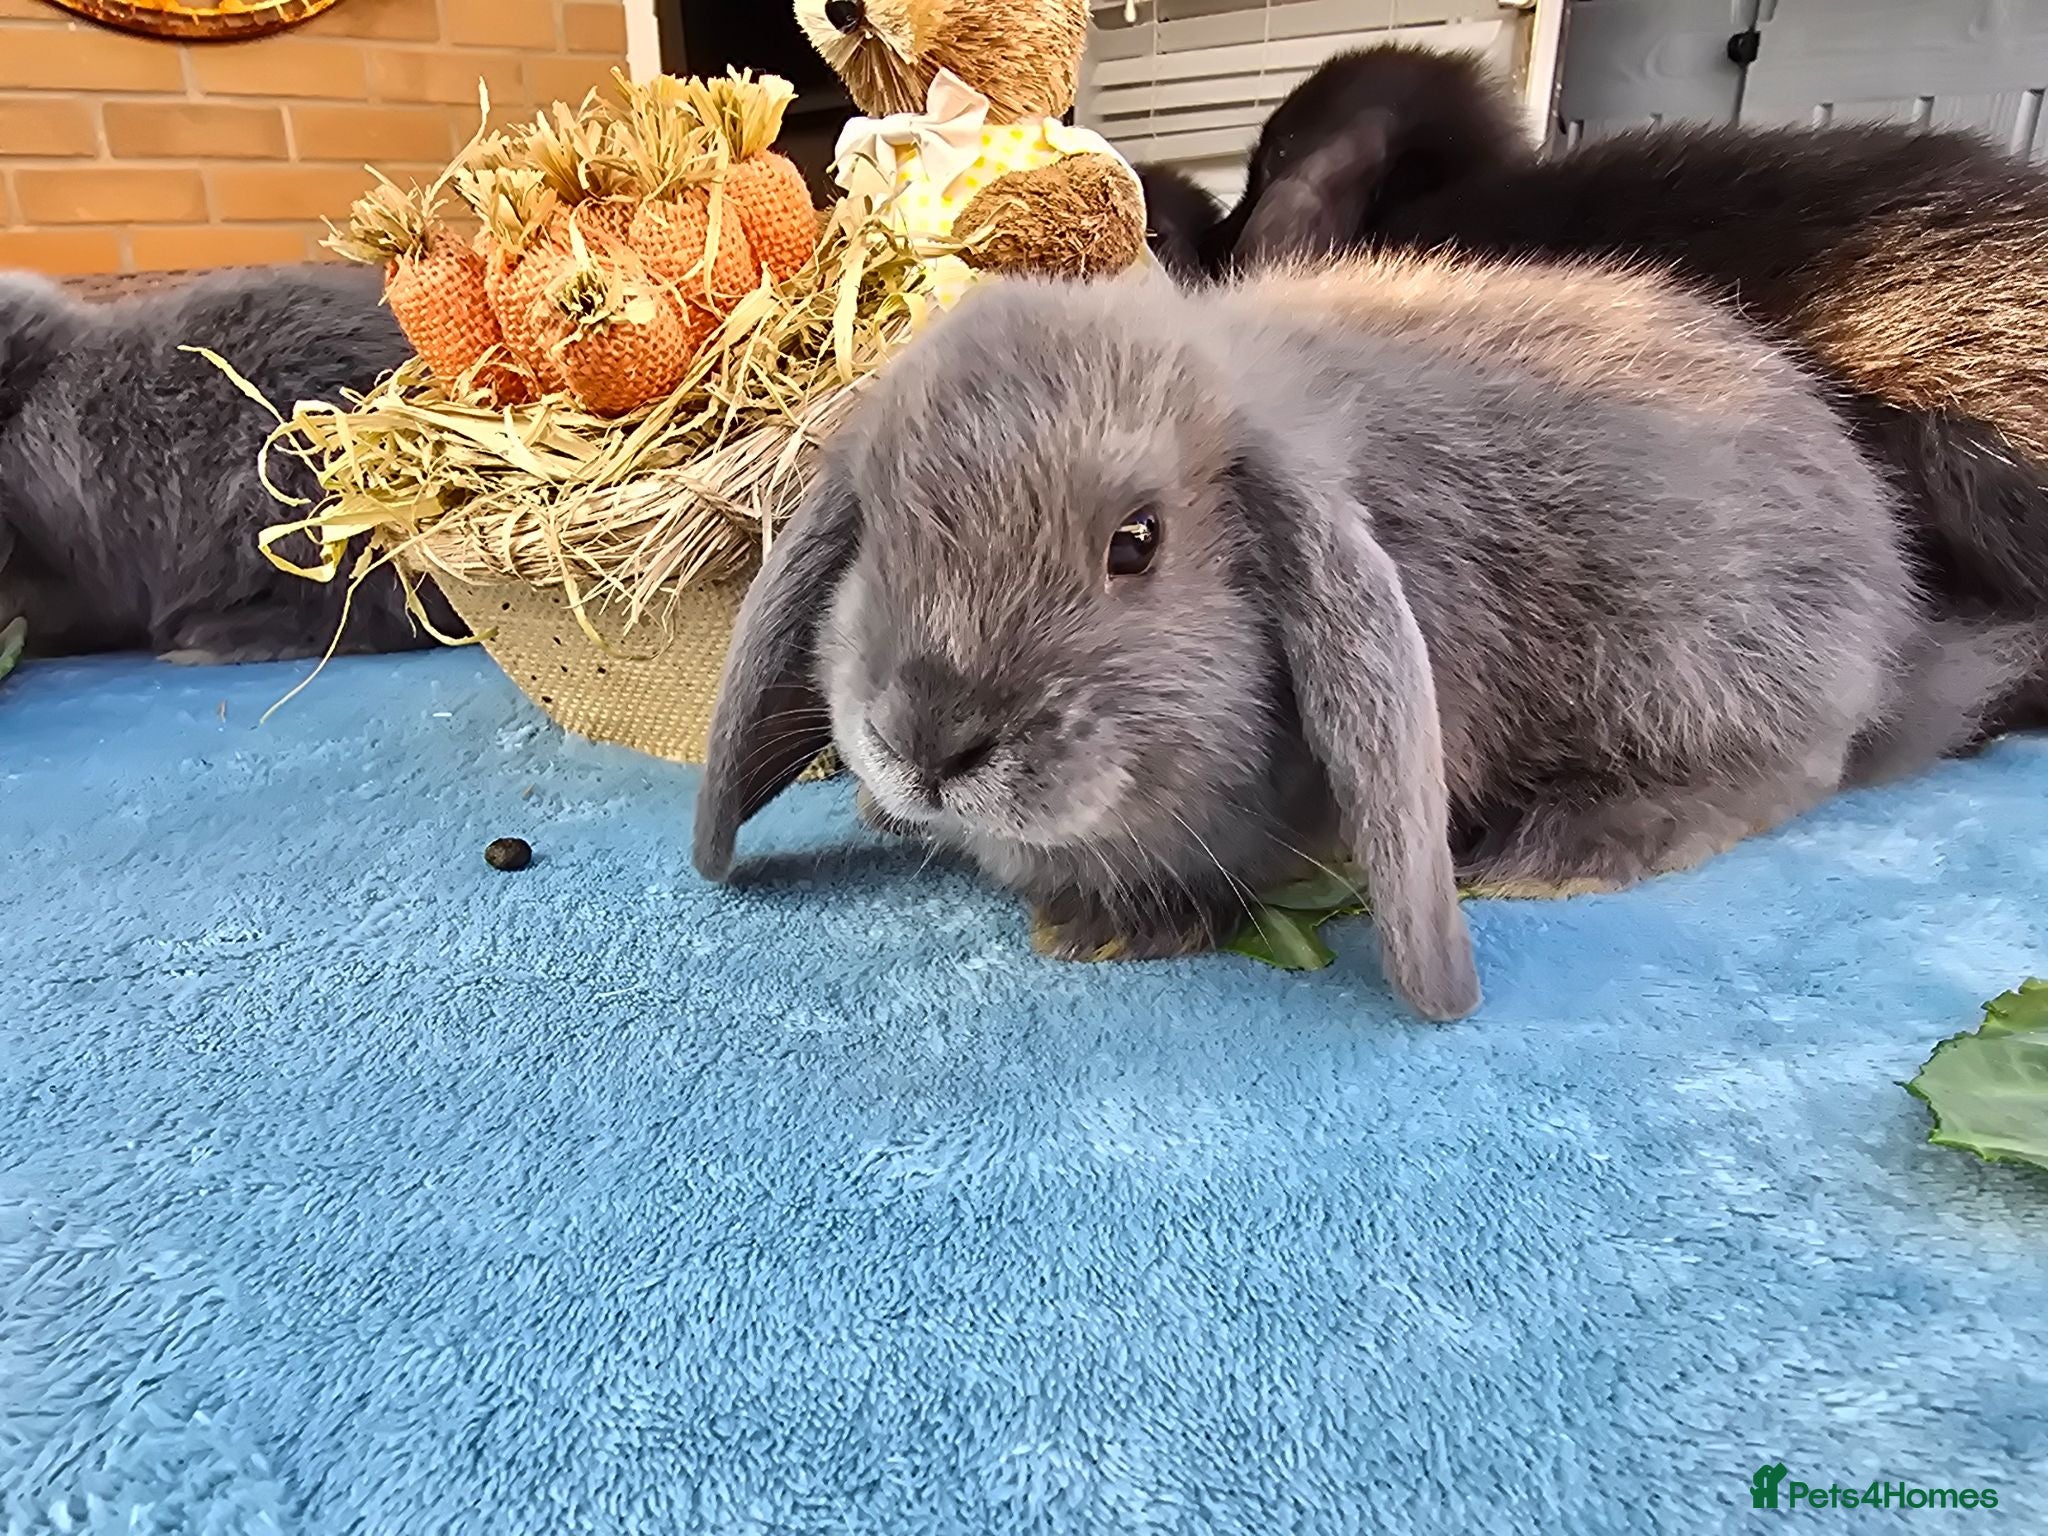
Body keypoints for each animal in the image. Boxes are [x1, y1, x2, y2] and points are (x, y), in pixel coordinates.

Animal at [694, 256, 2025, 1021]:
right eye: (876, 531)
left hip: (1696, 669)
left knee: (1785, 771)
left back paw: (1565, 848)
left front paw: (1110, 929)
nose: (927, 740)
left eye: (1135, 542)